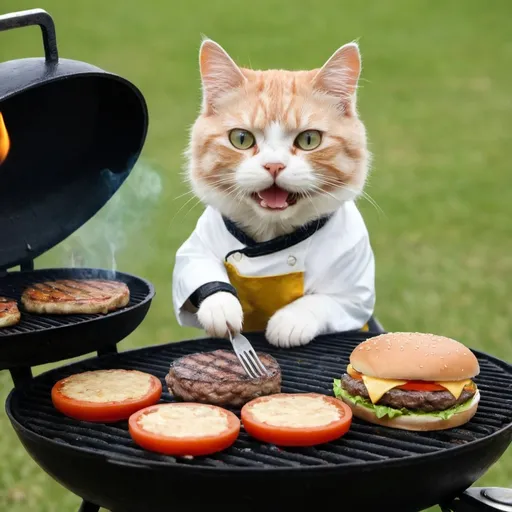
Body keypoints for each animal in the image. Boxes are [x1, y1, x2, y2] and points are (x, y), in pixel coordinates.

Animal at [173, 38, 376, 346]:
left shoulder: (356, 293)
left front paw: (289, 322)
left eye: (309, 139)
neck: (272, 241)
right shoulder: (195, 248)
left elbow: (325, 301)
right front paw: (221, 307)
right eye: (241, 138)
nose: (274, 165)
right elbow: (197, 270)